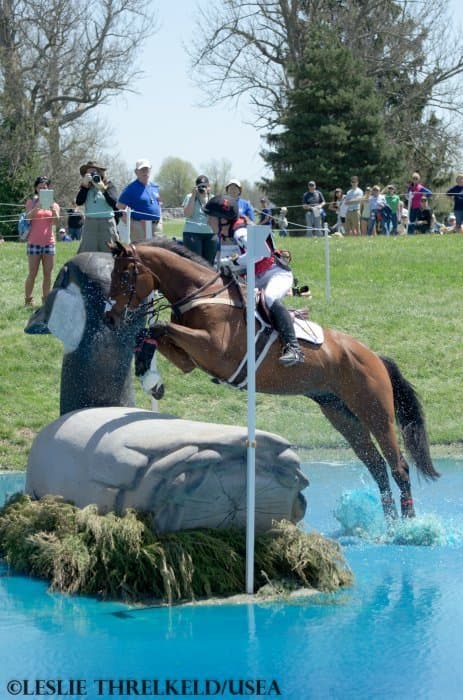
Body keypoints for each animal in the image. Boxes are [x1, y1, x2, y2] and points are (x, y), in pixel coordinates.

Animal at [105, 238, 439, 520]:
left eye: (125, 276)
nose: (110, 318)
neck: (203, 295)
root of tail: (374, 357)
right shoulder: (191, 358)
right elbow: (149, 332)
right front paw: (151, 380)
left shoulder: (214, 350)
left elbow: (157, 326)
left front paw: (150, 377)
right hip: (341, 415)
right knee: (377, 467)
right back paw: (389, 523)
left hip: (374, 412)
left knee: (398, 467)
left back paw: (409, 525)